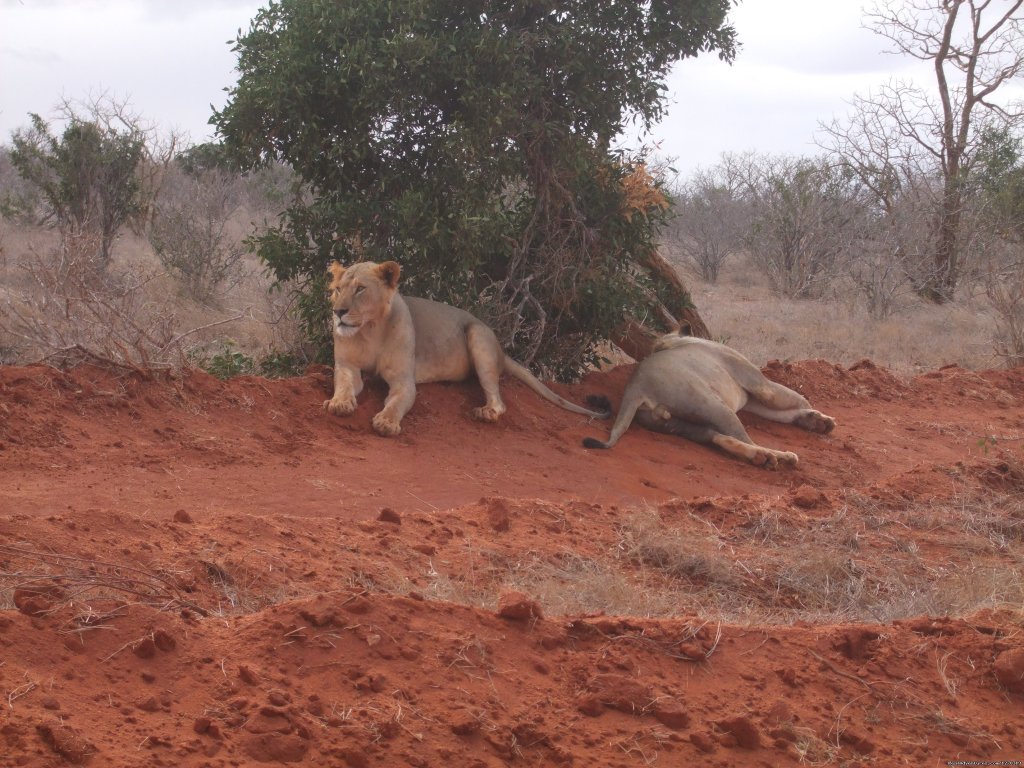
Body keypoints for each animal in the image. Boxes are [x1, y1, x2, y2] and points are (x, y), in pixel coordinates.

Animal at [321, 260, 606, 436]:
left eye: (360, 289)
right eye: (337, 289)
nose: (338, 312)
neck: (369, 330)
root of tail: (502, 352)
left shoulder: (404, 380)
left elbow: (396, 403)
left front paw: (386, 422)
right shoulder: (347, 366)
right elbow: (344, 384)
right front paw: (339, 403)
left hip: (477, 336)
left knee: (498, 401)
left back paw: (485, 412)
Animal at [581, 331, 835, 468]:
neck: (679, 340)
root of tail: (635, 388)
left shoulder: (750, 397)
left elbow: (783, 412)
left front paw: (816, 422)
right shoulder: (758, 383)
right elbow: (792, 398)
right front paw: (818, 418)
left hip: (676, 423)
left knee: (716, 436)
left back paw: (760, 456)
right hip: (712, 405)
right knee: (743, 437)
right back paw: (776, 456)